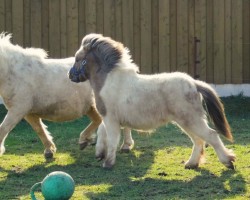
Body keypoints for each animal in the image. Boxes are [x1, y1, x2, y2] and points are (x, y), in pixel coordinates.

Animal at [0, 32, 133, 158]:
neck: (14, 72)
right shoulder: (29, 113)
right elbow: (39, 129)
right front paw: (49, 150)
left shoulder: (18, 109)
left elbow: (3, 128)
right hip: (90, 106)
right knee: (98, 119)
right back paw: (85, 140)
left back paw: (125, 146)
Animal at [69, 33, 235, 170]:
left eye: (78, 59)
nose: (71, 75)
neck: (108, 80)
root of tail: (194, 84)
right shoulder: (109, 118)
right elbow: (102, 132)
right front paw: (99, 153)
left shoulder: (110, 119)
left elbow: (111, 139)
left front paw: (107, 163)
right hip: (186, 122)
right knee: (199, 141)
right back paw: (191, 164)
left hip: (191, 120)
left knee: (210, 136)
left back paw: (228, 161)